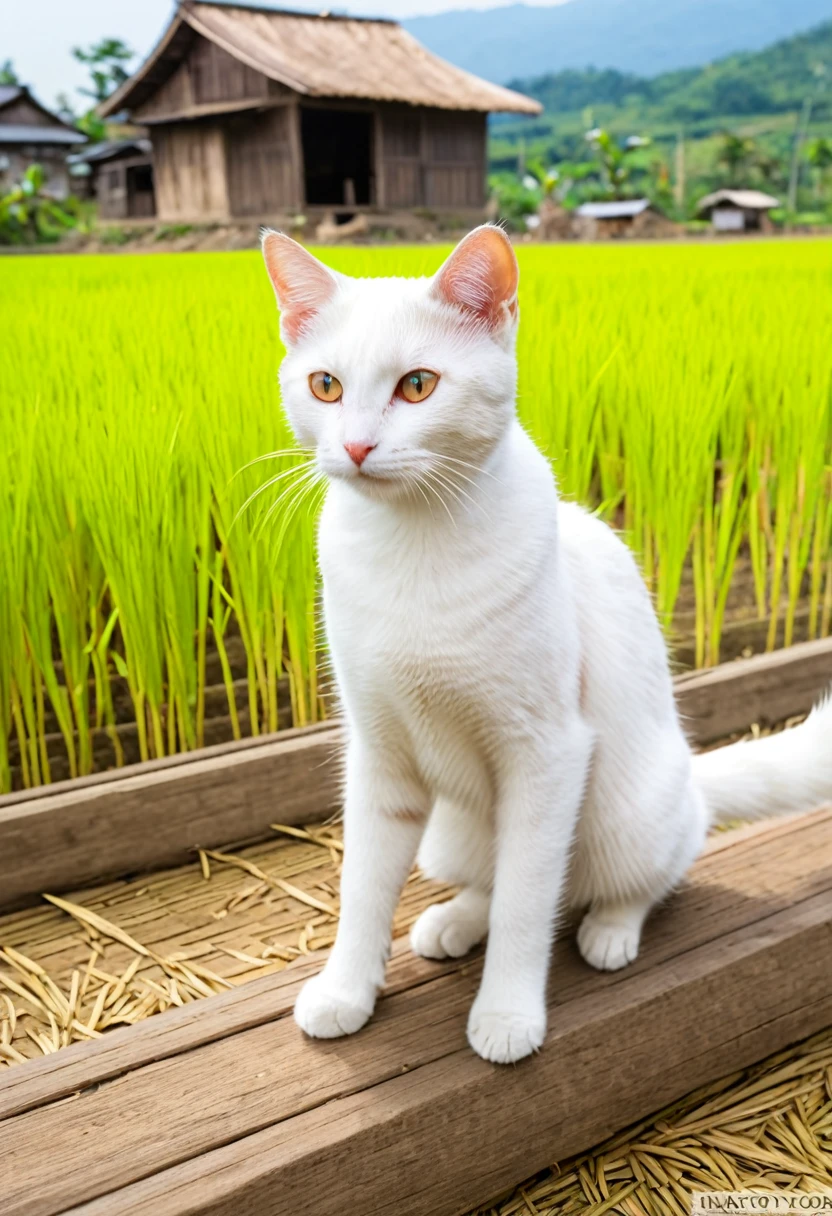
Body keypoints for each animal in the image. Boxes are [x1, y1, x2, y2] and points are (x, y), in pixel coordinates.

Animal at [261, 226, 832, 1065]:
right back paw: (456, 920)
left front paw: (506, 1014)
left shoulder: (548, 750)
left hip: (631, 814)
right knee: (488, 878)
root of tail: (690, 777)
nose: (358, 447)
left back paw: (610, 929)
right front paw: (345, 992)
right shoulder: (379, 753)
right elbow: (363, 888)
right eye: (325, 385)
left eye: (418, 385)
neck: (412, 549)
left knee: (635, 877)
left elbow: (530, 900)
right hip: (447, 834)